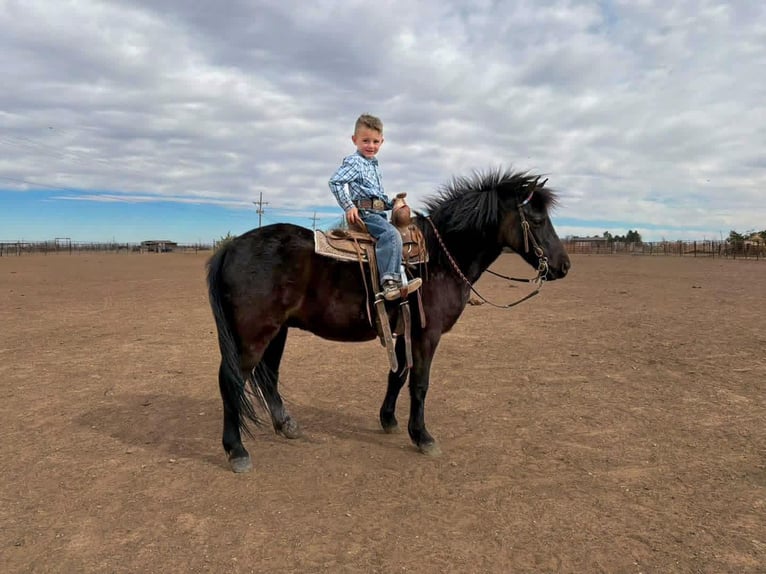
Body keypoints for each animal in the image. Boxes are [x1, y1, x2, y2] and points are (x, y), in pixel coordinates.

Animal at [206, 168, 571, 472]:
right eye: (537, 219)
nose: (564, 266)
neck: (440, 257)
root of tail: (231, 247)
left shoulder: (405, 331)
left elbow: (397, 375)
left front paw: (389, 421)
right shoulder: (427, 334)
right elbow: (419, 384)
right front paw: (422, 436)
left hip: (277, 331)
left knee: (268, 376)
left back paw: (286, 426)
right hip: (254, 335)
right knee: (231, 381)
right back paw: (236, 450)